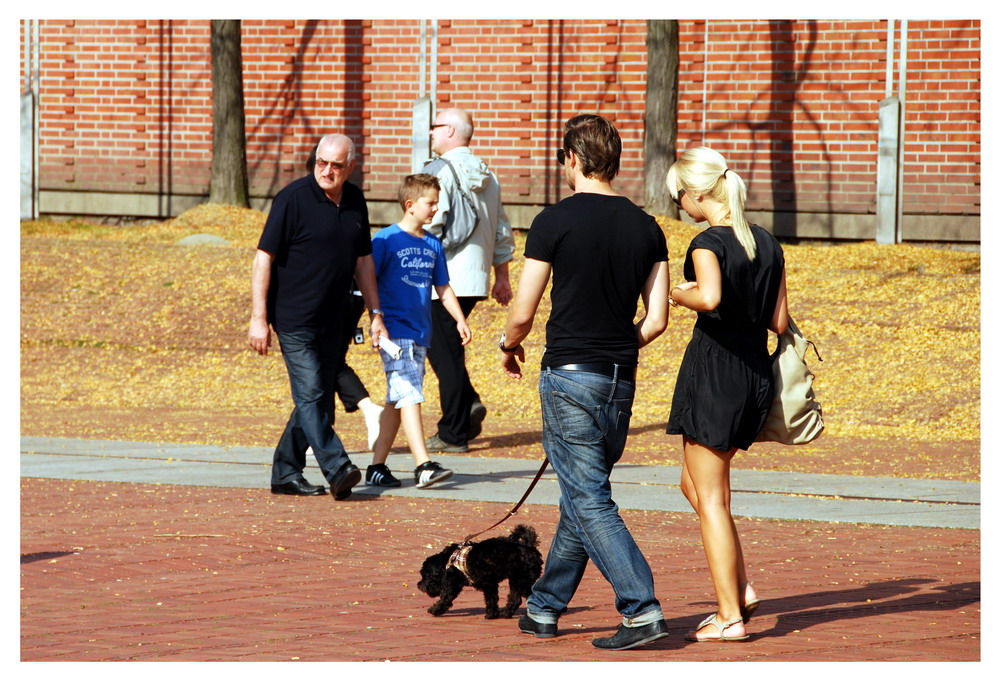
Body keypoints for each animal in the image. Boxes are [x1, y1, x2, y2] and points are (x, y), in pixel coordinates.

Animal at [420, 520, 548, 616]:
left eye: (424, 576)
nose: (419, 585)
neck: (448, 560)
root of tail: (530, 547)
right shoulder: (490, 584)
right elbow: (492, 599)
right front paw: (493, 614)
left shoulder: (454, 584)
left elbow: (445, 599)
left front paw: (434, 610)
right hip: (519, 581)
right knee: (519, 598)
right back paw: (506, 613)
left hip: (520, 580)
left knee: (522, 597)